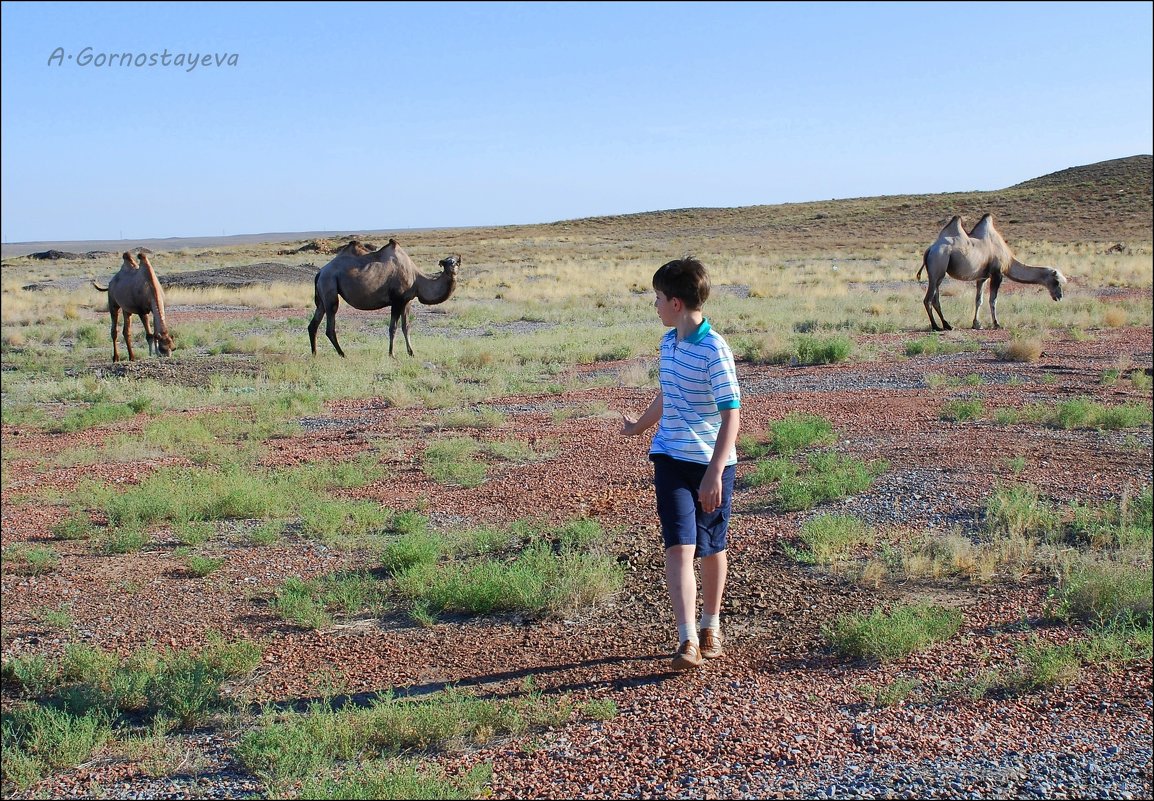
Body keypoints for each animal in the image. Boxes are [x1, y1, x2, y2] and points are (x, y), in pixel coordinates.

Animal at [311, 238, 463, 357]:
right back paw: (342, 354)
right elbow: (393, 328)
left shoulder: (407, 301)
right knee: (330, 326)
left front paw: (411, 353)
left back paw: (314, 354)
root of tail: (320, 272)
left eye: (456, 262)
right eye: (446, 263)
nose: (453, 270)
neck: (417, 278)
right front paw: (392, 354)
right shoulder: (397, 301)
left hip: (323, 295)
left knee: (314, 324)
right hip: (329, 284)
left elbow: (406, 326)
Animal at [913, 213, 1066, 332]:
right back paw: (936, 326)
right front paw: (997, 324)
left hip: (938, 273)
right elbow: (993, 300)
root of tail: (930, 249)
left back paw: (947, 325)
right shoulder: (997, 273)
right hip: (938, 265)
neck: (1008, 260)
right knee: (928, 299)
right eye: (1056, 281)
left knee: (935, 298)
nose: (1059, 296)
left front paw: (976, 324)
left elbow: (978, 300)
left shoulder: (983, 277)